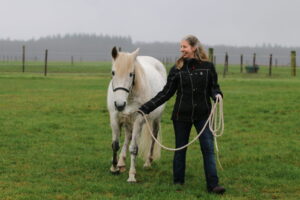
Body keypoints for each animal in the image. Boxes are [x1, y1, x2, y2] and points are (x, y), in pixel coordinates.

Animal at [106, 46, 166, 182]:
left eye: (131, 74)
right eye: (113, 72)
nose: (119, 105)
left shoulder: (138, 120)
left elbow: (133, 148)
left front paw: (132, 175)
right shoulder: (114, 118)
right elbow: (115, 144)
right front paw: (114, 168)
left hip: (155, 119)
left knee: (153, 137)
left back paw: (148, 162)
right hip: (128, 121)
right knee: (128, 136)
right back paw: (121, 162)